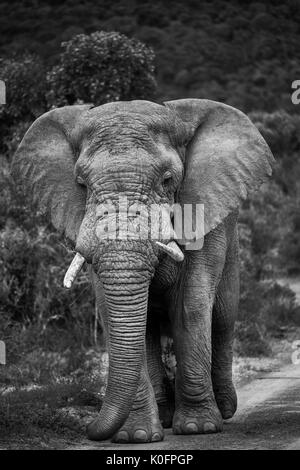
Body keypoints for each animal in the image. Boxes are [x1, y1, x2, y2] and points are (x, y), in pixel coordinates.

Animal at [11, 97, 274, 442]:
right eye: (81, 183)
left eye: (167, 180)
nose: (86, 428)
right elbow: (112, 311)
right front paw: (134, 436)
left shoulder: (202, 213)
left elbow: (190, 305)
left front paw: (197, 428)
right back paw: (164, 416)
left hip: (231, 245)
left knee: (222, 318)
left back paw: (225, 410)